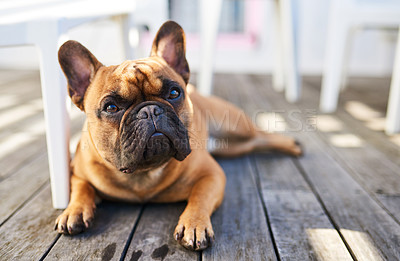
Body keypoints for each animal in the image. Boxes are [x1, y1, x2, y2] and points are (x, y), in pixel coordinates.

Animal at [54, 20, 302, 250]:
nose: (150, 110)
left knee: (261, 133)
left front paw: (194, 224)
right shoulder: (77, 172)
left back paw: (292, 144)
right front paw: (73, 211)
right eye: (111, 107)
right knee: (254, 142)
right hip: (232, 147)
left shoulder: (212, 175)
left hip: (233, 123)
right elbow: (81, 188)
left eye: (174, 93)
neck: (143, 174)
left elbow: (200, 196)